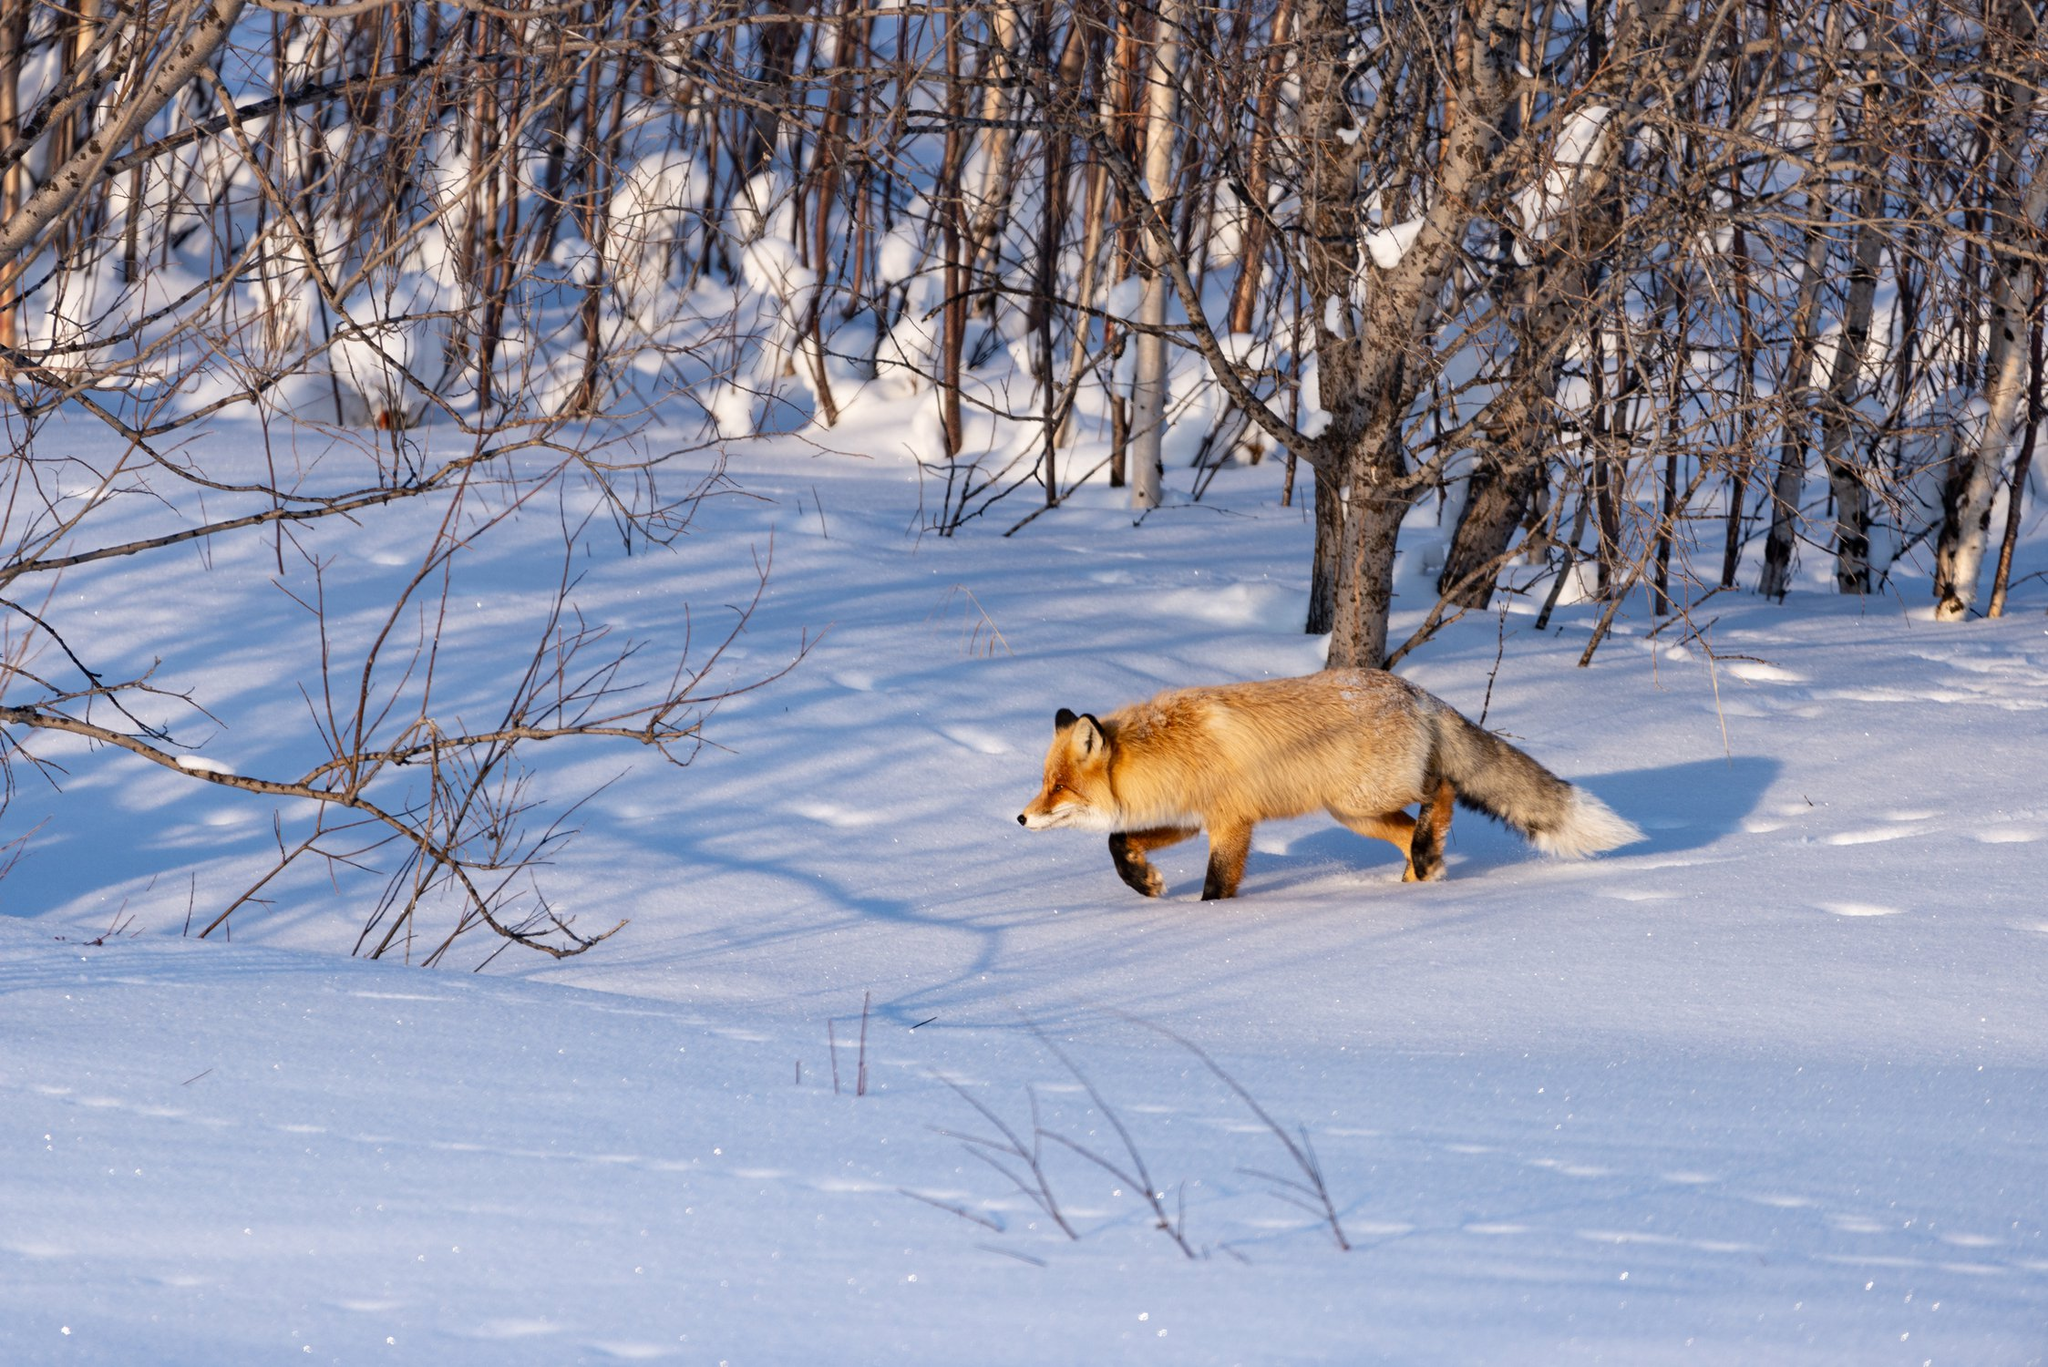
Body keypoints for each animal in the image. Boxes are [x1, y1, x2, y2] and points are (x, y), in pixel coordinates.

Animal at [1015, 672, 1638, 897]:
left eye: (1058, 787)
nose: (1019, 818)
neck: (1167, 750)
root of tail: (1413, 690)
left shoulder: (1232, 823)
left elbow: (1217, 886)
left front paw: (1207, 919)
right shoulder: (1192, 817)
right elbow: (1117, 841)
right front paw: (1144, 883)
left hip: (1365, 798)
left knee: (1443, 791)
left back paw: (1424, 860)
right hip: (1357, 814)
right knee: (1413, 833)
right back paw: (1420, 875)